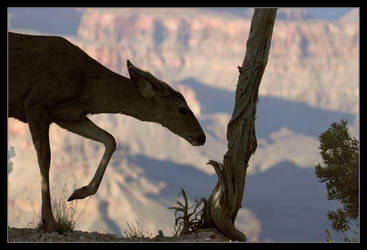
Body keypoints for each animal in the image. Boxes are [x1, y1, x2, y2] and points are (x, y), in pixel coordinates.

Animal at [7, 32, 207, 231]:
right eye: (182, 109)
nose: (202, 137)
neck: (88, 87)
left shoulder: (69, 117)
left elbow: (110, 139)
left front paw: (79, 192)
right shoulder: (36, 105)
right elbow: (45, 159)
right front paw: (49, 220)